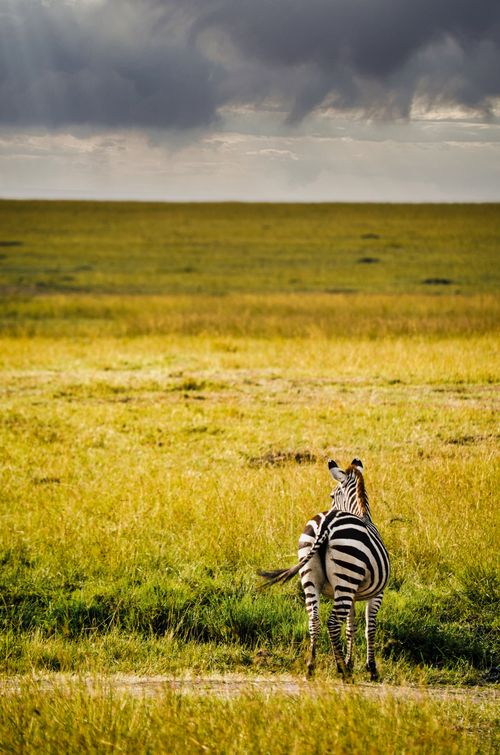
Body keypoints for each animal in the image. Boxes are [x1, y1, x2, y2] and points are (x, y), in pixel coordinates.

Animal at [259, 458, 390, 681]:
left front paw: (350, 661)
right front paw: (370, 668)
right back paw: (343, 671)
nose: (329, 502)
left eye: (331, 496)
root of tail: (326, 523)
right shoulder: (377, 593)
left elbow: (351, 627)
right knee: (332, 623)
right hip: (346, 577)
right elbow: (369, 628)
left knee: (314, 620)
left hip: (310, 576)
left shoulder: (354, 594)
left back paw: (312, 666)